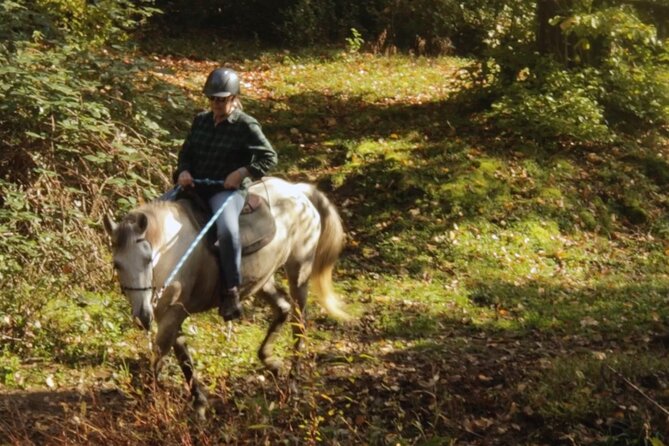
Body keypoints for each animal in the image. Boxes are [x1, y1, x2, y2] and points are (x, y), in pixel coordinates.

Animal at [103, 177, 349, 418]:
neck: (171, 253)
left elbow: (159, 355)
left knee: (299, 323)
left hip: (299, 271)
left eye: (148, 259)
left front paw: (148, 401)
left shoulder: (175, 313)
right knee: (283, 308)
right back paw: (271, 362)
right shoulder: (170, 314)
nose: (143, 315)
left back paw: (293, 383)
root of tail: (297, 191)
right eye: (117, 264)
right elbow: (183, 356)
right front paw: (199, 403)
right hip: (261, 279)